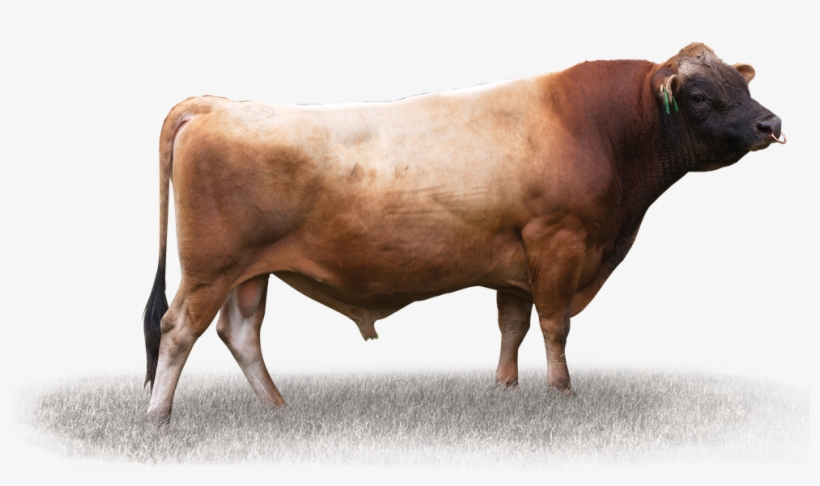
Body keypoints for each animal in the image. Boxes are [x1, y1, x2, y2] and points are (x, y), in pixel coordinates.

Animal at [144, 43, 784, 423]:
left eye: (744, 86)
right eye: (699, 96)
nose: (770, 123)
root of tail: (215, 105)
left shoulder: (517, 259)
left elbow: (512, 325)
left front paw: (505, 389)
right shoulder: (558, 243)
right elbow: (555, 325)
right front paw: (561, 392)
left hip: (251, 271)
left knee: (240, 333)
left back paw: (277, 409)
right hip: (210, 267)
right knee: (178, 329)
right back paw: (158, 416)